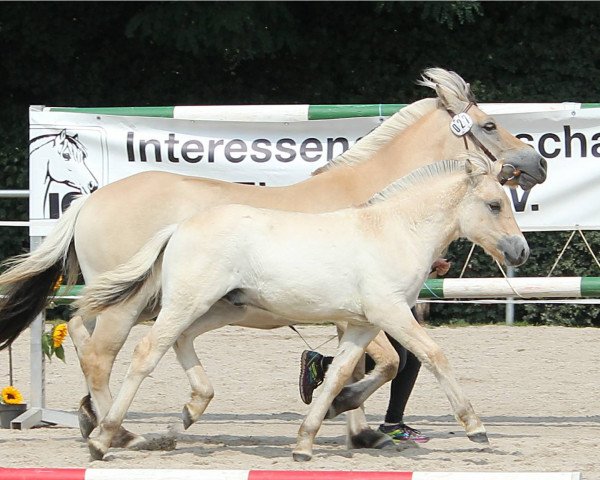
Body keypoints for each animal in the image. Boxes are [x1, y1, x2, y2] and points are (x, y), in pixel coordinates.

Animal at [76, 152, 528, 460]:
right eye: (494, 204)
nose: (520, 251)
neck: (394, 231)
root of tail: (178, 227)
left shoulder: (362, 324)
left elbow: (342, 373)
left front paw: (308, 439)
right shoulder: (390, 313)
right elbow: (433, 355)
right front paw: (476, 427)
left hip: (220, 309)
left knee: (178, 341)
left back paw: (185, 413)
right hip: (186, 303)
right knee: (141, 352)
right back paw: (107, 437)